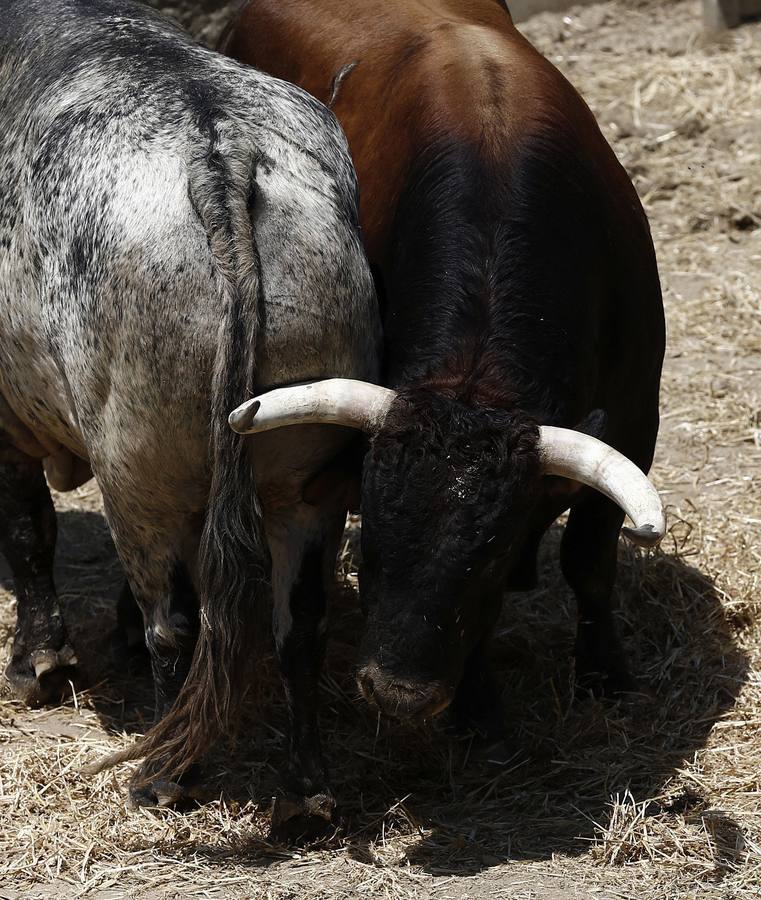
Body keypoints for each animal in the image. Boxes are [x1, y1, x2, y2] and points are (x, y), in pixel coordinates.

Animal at [0, 0, 380, 824]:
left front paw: (37, 663)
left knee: (173, 620)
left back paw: (163, 774)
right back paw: (306, 792)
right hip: (306, 476)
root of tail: (220, 153)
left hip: (138, 471)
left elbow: (28, 532)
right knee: (298, 623)